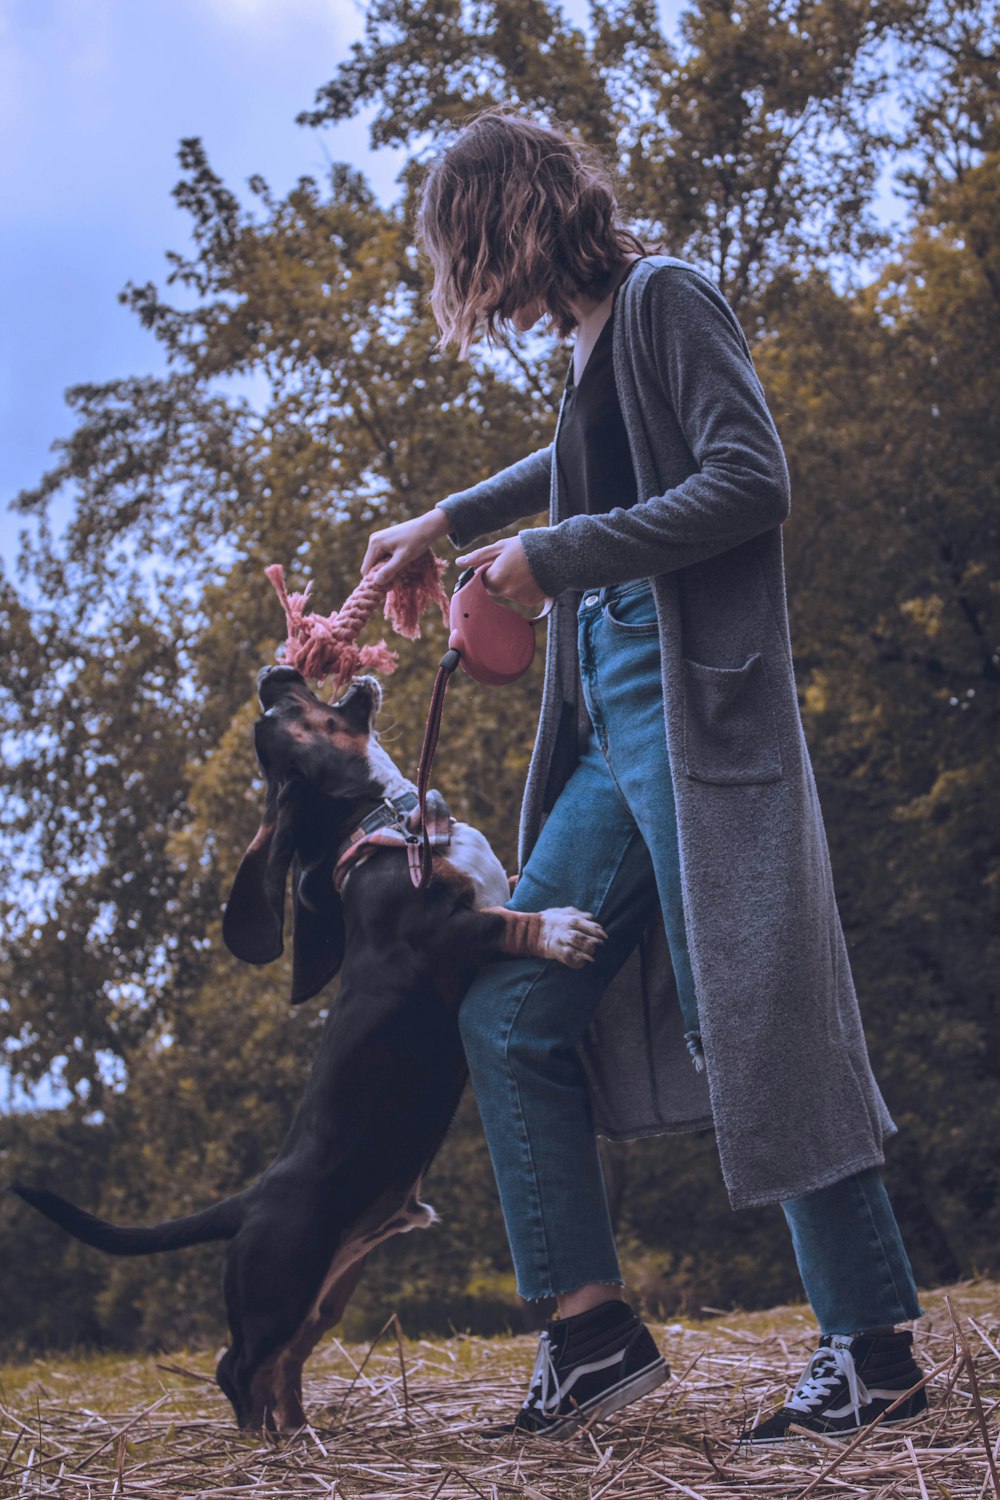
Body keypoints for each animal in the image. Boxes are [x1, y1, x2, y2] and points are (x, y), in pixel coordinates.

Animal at [7, 666, 605, 1428]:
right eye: (281, 714)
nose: (272, 674)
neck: (393, 821)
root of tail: (249, 1200)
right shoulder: (445, 936)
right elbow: (506, 923)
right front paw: (561, 930)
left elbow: (509, 892)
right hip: (283, 1281)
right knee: (237, 1364)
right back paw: (265, 1436)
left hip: (327, 1292)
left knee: (283, 1362)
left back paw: (295, 1432)